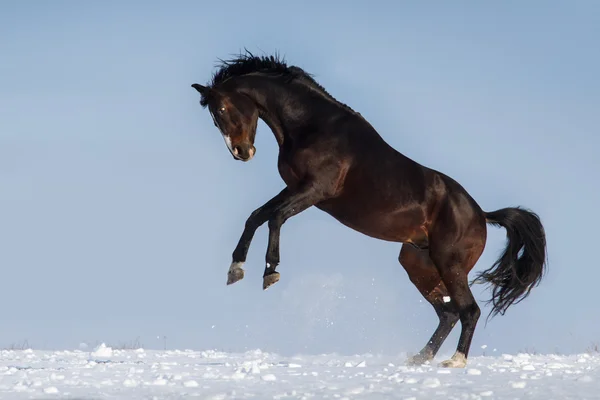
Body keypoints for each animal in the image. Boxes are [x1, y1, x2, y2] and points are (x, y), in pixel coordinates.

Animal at [190, 51, 548, 368]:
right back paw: (419, 359)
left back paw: (455, 362)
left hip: (449, 264)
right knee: (448, 312)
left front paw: (270, 272)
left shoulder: (315, 191)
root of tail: (482, 214)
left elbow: (275, 217)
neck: (312, 126)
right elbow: (256, 216)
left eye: (224, 108)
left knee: (468, 311)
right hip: (418, 264)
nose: (241, 152)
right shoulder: (294, 188)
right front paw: (236, 269)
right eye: (215, 117)